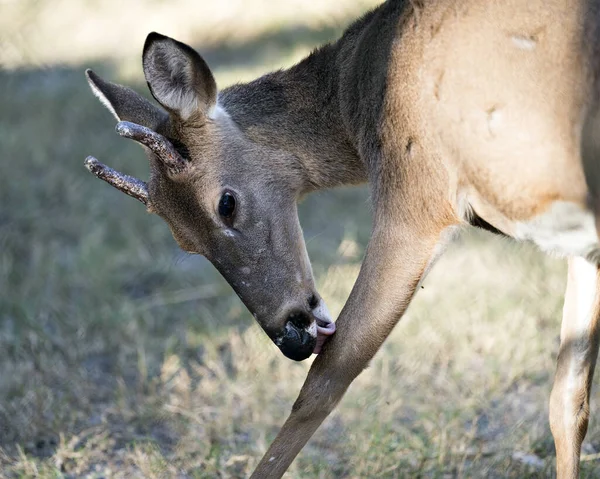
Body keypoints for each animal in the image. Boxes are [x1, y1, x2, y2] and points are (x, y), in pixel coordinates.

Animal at [83, 0, 600, 478]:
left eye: (226, 203)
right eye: (183, 241)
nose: (290, 335)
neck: (358, 93)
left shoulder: (415, 199)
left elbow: (326, 378)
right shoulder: (580, 246)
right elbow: (567, 400)